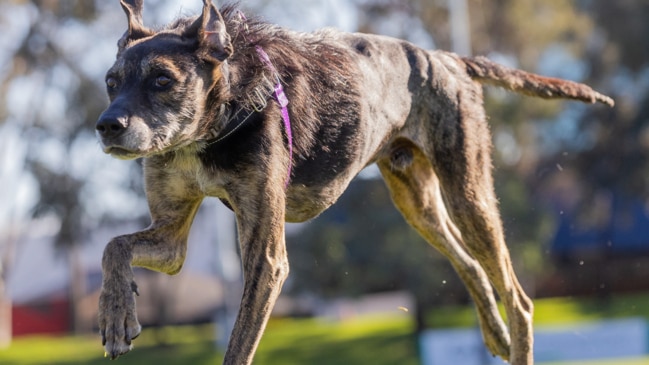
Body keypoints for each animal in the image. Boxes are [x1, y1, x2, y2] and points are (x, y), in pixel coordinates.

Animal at [96, 1, 612, 362]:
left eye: (163, 79)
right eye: (110, 82)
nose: (105, 125)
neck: (210, 127)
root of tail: (445, 58)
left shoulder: (266, 255)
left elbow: (239, 345)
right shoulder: (172, 240)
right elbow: (114, 246)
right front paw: (115, 312)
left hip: (468, 194)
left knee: (518, 298)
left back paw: (513, 333)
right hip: (418, 202)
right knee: (471, 265)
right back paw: (495, 333)